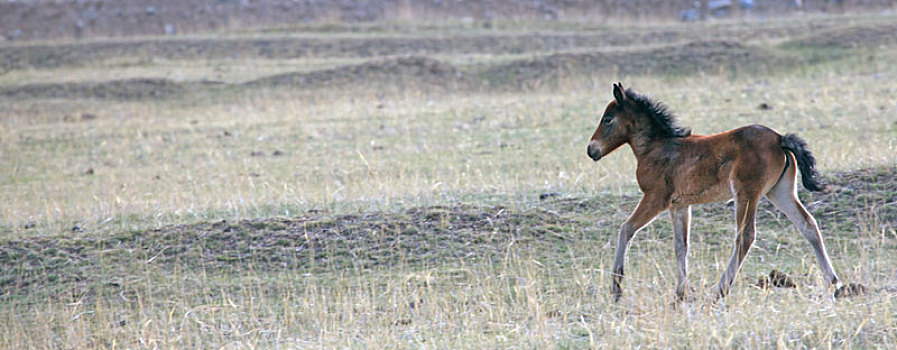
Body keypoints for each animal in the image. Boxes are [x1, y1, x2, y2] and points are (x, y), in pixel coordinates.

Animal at [588, 82, 840, 300]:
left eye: (608, 119)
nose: (591, 150)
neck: (657, 147)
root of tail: (780, 138)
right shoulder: (680, 205)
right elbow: (681, 247)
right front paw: (680, 295)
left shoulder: (656, 198)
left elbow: (626, 229)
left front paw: (616, 289)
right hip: (780, 192)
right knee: (808, 225)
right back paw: (833, 283)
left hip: (746, 193)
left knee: (745, 236)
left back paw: (720, 290)